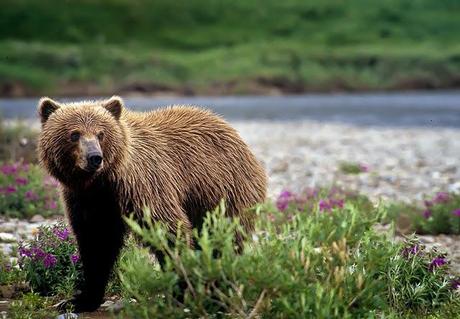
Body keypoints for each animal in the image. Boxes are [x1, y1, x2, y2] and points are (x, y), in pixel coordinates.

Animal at [37, 95, 268, 312]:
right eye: (74, 134)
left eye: (101, 133)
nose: (95, 157)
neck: (103, 180)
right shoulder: (88, 200)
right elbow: (96, 242)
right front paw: (81, 299)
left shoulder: (144, 186)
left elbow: (167, 230)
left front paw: (181, 291)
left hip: (222, 191)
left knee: (223, 238)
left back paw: (218, 290)